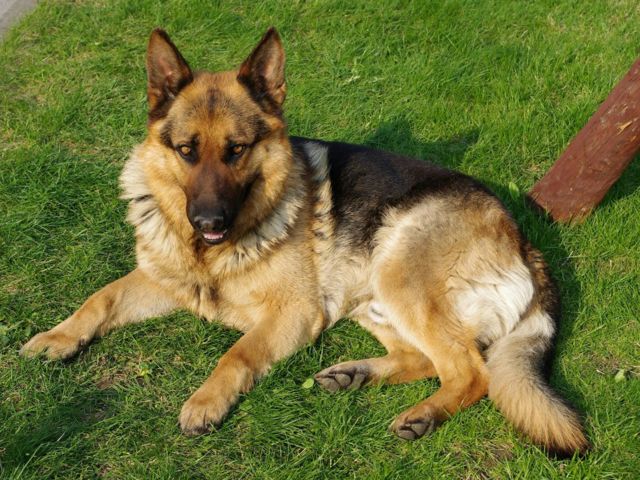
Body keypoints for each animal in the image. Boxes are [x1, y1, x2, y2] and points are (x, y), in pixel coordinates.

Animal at [20, 27, 588, 456]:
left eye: (237, 150)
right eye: (186, 151)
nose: (207, 220)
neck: (211, 254)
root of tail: (523, 241)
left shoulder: (292, 312)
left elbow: (237, 354)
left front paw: (205, 401)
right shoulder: (162, 279)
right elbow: (100, 298)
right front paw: (57, 337)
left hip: (398, 273)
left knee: (473, 372)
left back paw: (422, 415)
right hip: (371, 300)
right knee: (429, 360)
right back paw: (355, 375)